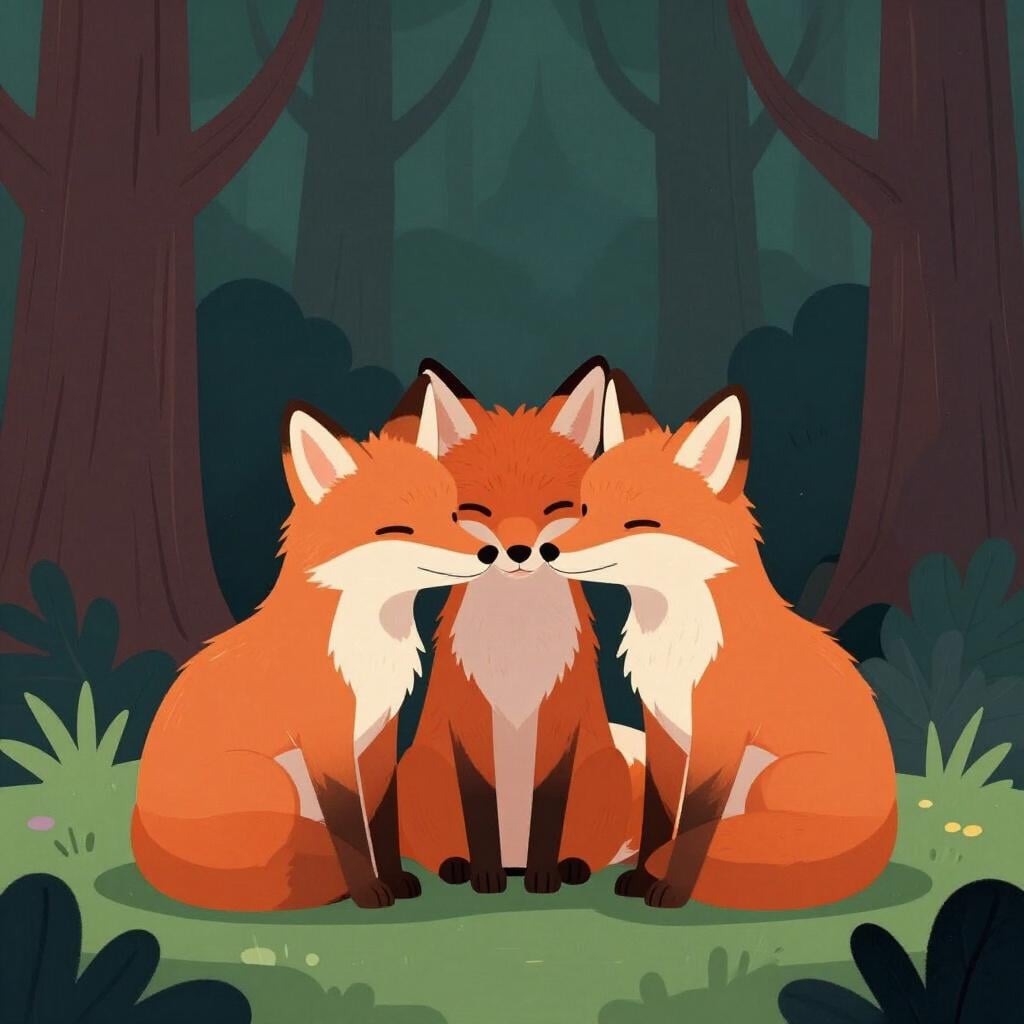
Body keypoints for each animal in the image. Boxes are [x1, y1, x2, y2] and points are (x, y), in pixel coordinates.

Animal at [131, 383, 496, 911]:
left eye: (452, 513)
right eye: (398, 529)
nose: (490, 553)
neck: (367, 649)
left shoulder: (378, 736)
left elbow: (381, 821)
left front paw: (394, 880)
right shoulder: (326, 740)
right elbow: (348, 829)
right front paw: (369, 891)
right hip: (276, 786)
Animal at [386, 358, 644, 894]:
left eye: (557, 509)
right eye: (478, 512)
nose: (521, 551)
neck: (517, 645)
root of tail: (514, 858)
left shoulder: (563, 727)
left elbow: (549, 809)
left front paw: (545, 877)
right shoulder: (465, 725)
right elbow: (479, 809)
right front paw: (484, 877)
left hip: (601, 765)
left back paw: (570, 866)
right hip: (421, 764)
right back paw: (458, 866)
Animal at [539, 372, 897, 910]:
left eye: (638, 523)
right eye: (584, 508)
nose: (545, 549)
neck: (676, 641)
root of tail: (888, 825)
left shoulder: (719, 734)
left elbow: (696, 822)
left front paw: (671, 889)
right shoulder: (664, 729)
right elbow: (660, 817)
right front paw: (642, 879)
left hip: (772, 781)